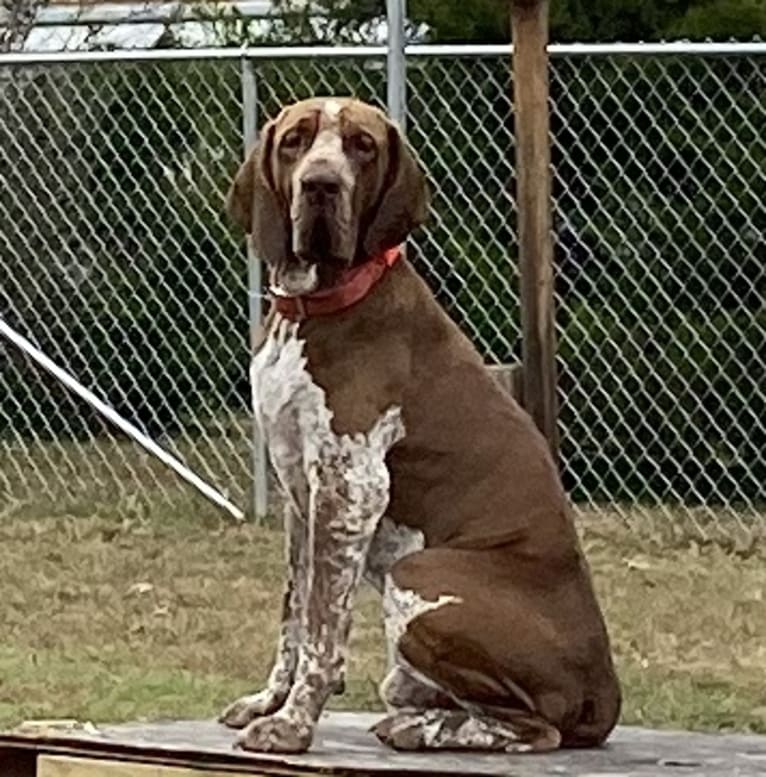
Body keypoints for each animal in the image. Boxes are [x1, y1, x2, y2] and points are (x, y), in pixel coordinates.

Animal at [218, 95, 624, 752]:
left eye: (361, 145)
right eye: (296, 140)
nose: (321, 185)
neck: (313, 310)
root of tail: (606, 693)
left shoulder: (351, 488)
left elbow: (324, 629)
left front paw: (293, 724)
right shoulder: (299, 495)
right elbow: (294, 615)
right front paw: (269, 701)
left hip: (420, 574)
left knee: (535, 729)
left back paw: (423, 729)